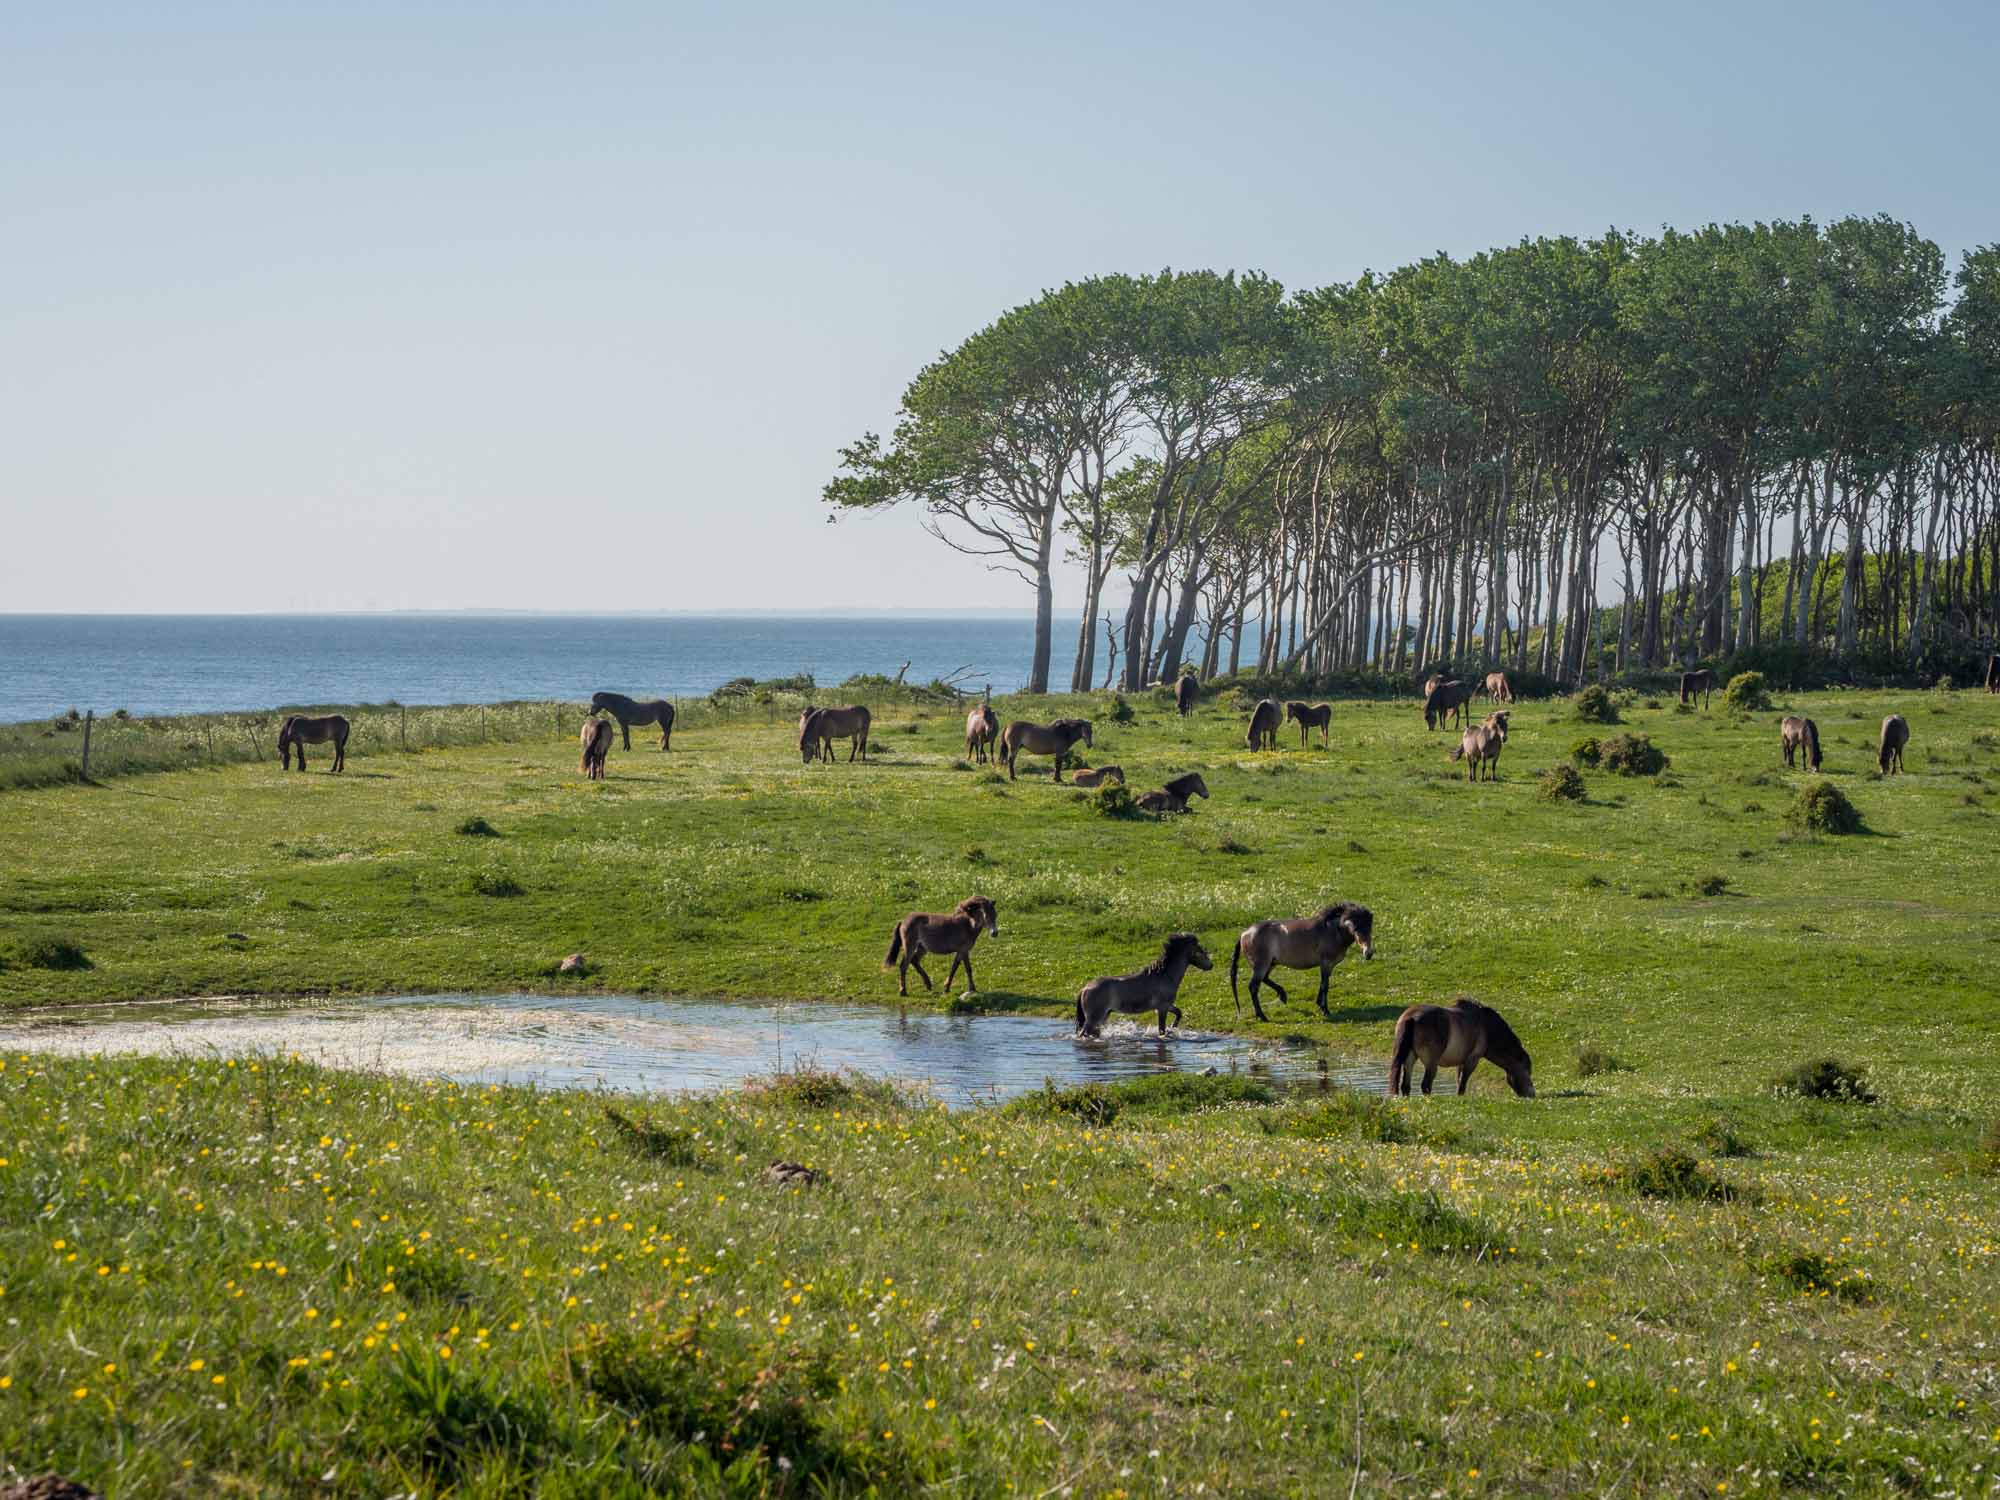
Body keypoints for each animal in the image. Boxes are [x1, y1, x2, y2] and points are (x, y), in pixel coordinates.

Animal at [1072, 936, 1208, 1040]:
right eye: (1200, 951)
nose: (1210, 965)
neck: (1165, 976)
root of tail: (1084, 988)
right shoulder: (1162, 1008)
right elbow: (1161, 1030)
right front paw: (1168, 1032)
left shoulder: (1167, 1005)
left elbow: (1179, 1013)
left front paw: (1173, 1029)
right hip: (1093, 1018)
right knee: (1082, 1034)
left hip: (1102, 1016)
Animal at [1232, 904, 1376, 1024]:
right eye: (1356, 928)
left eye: (1369, 928)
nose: (1368, 953)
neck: (1332, 931)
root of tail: (1244, 934)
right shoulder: (1326, 963)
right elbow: (1325, 986)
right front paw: (1325, 1010)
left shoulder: (1328, 966)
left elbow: (1323, 984)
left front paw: (1319, 1005)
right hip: (1261, 966)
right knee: (1253, 987)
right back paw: (1262, 1016)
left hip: (1270, 963)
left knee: (1265, 979)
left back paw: (1282, 996)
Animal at [1384, 1004, 1536, 1096]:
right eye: (1527, 1071)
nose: (1532, 1095)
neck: (1486, 1027)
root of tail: (1411, 1017)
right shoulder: (1472, 1060)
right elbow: (1462, 1084)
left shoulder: (1461, 1062)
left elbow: (1458, 1081)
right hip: (1431, 1063)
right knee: (1425, 1085)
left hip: (1410, 1058)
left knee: (1405, 1086)